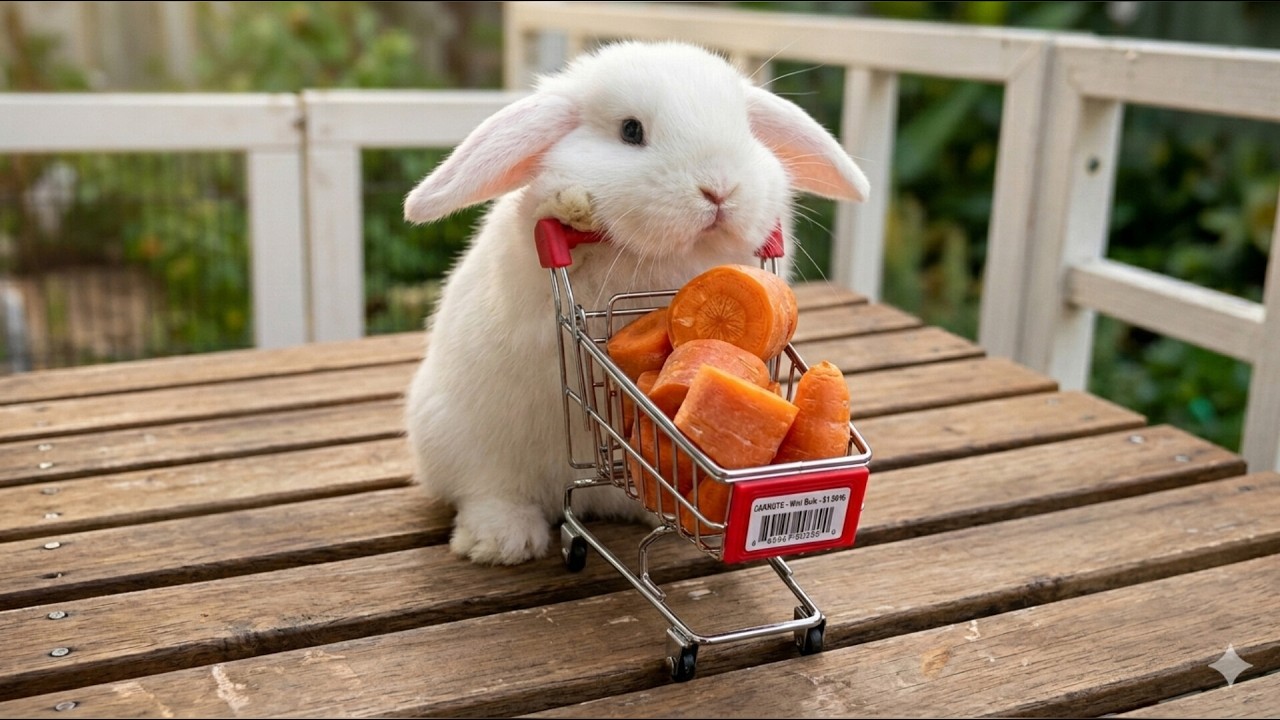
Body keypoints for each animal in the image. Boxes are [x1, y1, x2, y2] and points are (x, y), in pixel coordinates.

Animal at [402, 39, 869, 566]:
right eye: (630, 131)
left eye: (745, 129)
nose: (719, 189)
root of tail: (590, 493)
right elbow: (545, 220)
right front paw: (573, 204)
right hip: (459, 441)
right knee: (487, 490)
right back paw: (501, 541)